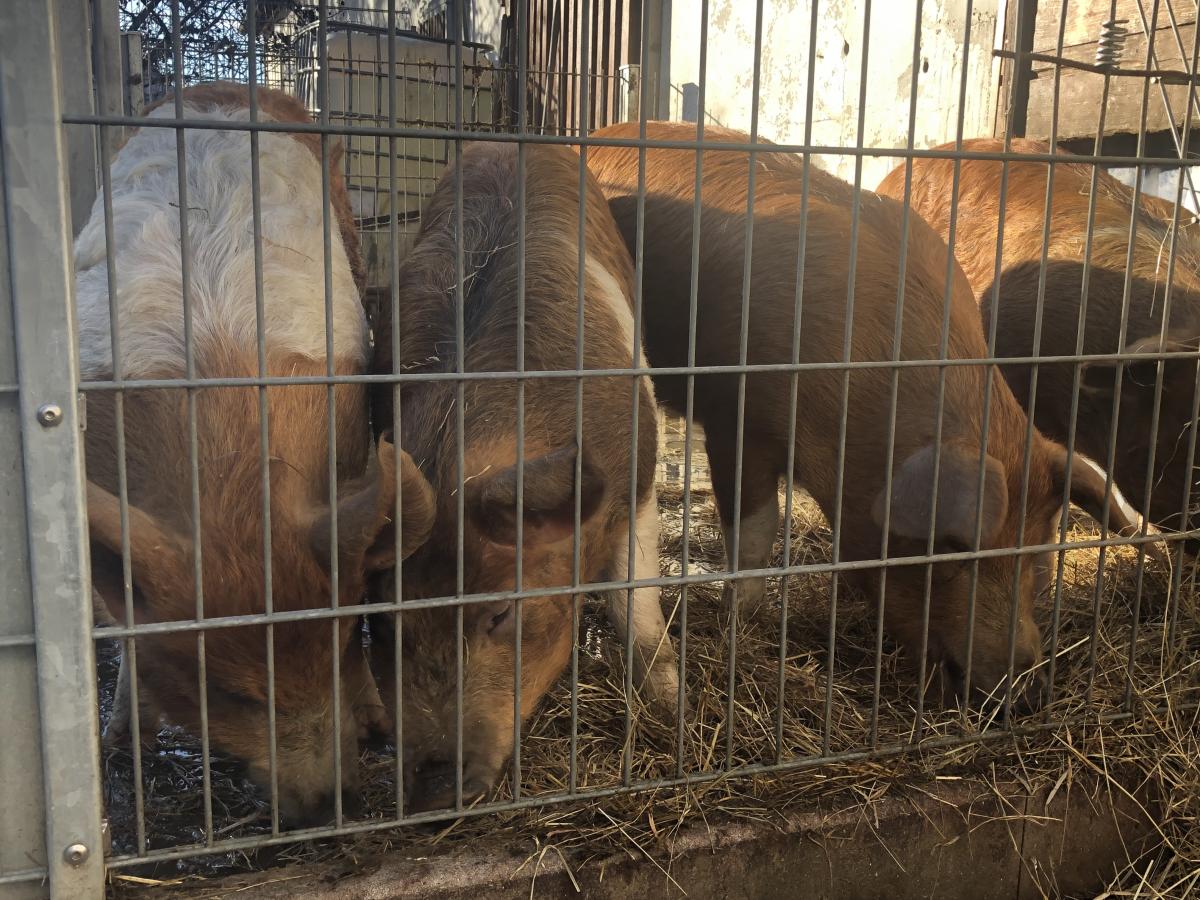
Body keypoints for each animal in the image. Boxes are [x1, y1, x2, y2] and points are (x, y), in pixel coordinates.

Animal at [78, 82, 436, 825]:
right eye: (232, 693)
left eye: (338, 647)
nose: (331, 802)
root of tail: (225, 88)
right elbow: (125, 623)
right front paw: (124, 741)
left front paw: (379, 725)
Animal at [364, 141, 686, 816]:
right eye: (384, 625)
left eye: (499, 615)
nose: (436, 788)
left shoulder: (640, 480)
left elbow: (637, 604)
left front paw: (674, 708)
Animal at [585, 121, 1147, 710]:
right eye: (949, 547)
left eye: (1037, 549)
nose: (1024, 688)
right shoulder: (737, 419)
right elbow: (756, 528)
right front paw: (740, 621)